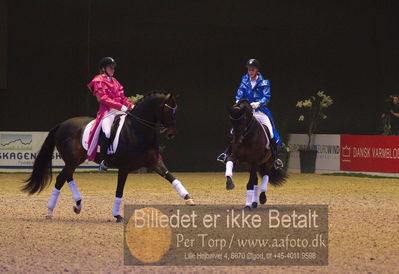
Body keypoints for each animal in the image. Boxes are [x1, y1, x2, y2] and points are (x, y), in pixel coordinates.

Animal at [22, 92, 195, 223]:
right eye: (168, 111)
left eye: (176, 111)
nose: (171, 133)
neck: (137, 129)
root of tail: (61, 124)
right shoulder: (124, 167)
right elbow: (119, 190)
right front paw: (117, 215)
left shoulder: (154, 162)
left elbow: (171, 178)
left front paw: (188, 199)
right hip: (72, 160)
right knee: (60, 179)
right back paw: (50, 211)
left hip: (75, 160)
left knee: (67, 176)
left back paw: (77, 204)